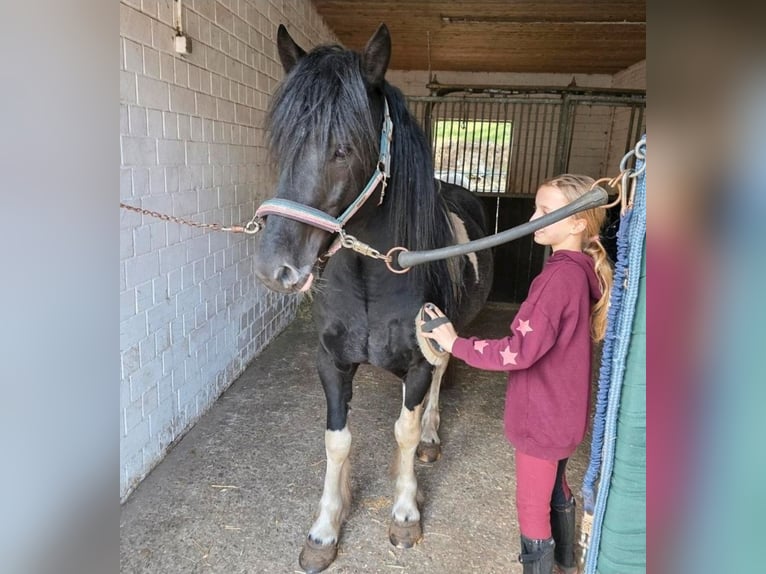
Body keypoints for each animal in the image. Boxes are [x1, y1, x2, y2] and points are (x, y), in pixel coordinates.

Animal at [252, 23, 494, 573]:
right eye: (285, 143)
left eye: (344, 148)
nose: (276, 270)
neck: (373, 278)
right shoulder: (332, 362)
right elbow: (337, 440)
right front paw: (324, 529)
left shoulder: (420, 361)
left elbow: (404, 431)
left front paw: (404, 514)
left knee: (439, 385)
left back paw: (432, 438)